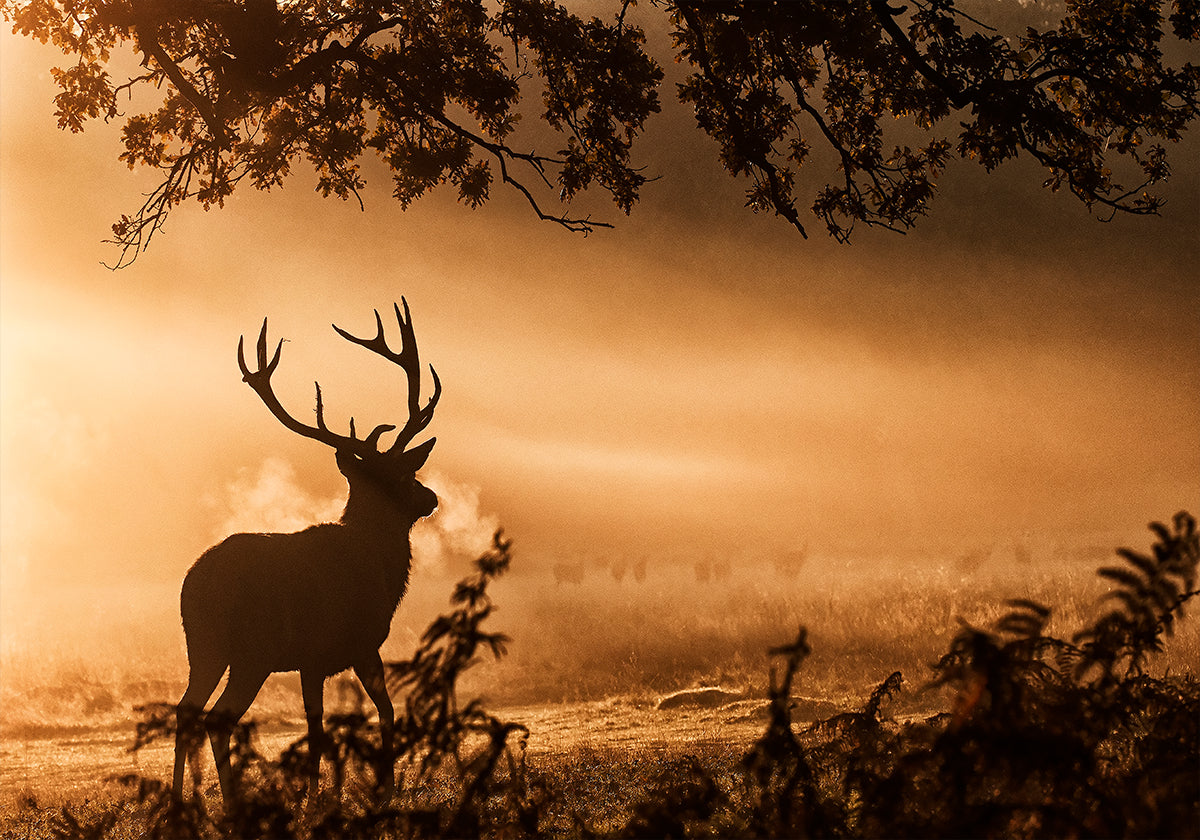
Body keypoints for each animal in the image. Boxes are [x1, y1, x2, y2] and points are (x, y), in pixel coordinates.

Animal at [173, 300, 440, 807]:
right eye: (403, 474)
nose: (431, 497)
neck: (380, 567)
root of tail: (191, 586)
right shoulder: (348, 644)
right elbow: (375, 714)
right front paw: (369, 791)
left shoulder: (318, 659)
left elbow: (324, 725)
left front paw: (315, 795)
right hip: (251, 652)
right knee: (217, 717)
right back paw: (231, 803)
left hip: (204, 647)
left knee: (185, 711)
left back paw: (181, 802)